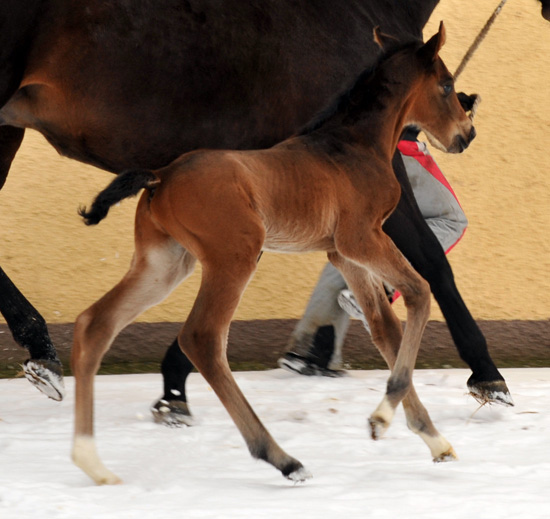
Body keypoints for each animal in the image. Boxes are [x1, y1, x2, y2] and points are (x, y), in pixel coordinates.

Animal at [2, 0, 548, 406]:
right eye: (447, 83)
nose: (467, 134)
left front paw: (175, 385)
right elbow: (433, 262)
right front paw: (488, 377)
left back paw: (43, 353)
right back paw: (42, 350)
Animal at [73, 23, 478, 488]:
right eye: (445, 85)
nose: (466, 135)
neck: (354, 146)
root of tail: (161, 175)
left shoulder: (342, 255)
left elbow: (384, 329)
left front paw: (433, 440)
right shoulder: (361, 238)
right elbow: (419, 293)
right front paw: (381, 418)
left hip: (165, 263)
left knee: (95, 323)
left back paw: (92, 462)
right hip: (234, 256)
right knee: (202, 338)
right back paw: (285, 459)